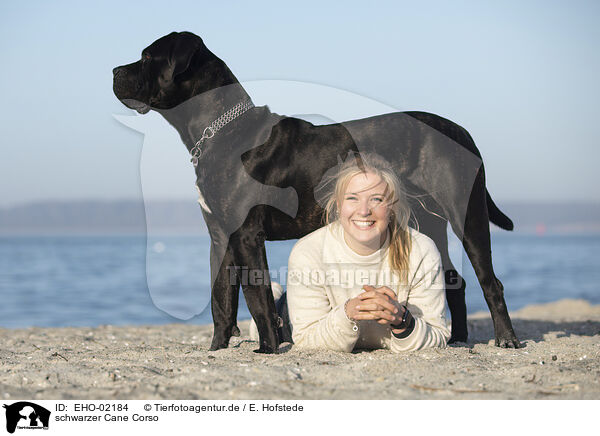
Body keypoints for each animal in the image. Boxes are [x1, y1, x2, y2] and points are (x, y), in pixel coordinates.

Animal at [113, 31, 520, 350]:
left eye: (147, 57)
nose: (115, 71)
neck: (222, 132)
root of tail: (462, 131)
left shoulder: (246, 235)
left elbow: (258, 298)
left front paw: (268, 350)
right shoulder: (220, 236)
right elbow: (221, 300)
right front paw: (217, 350)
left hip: (466, 213)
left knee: (490, 281)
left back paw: (506, 339)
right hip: (429, 221)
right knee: (454, 279)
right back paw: (458, 340)